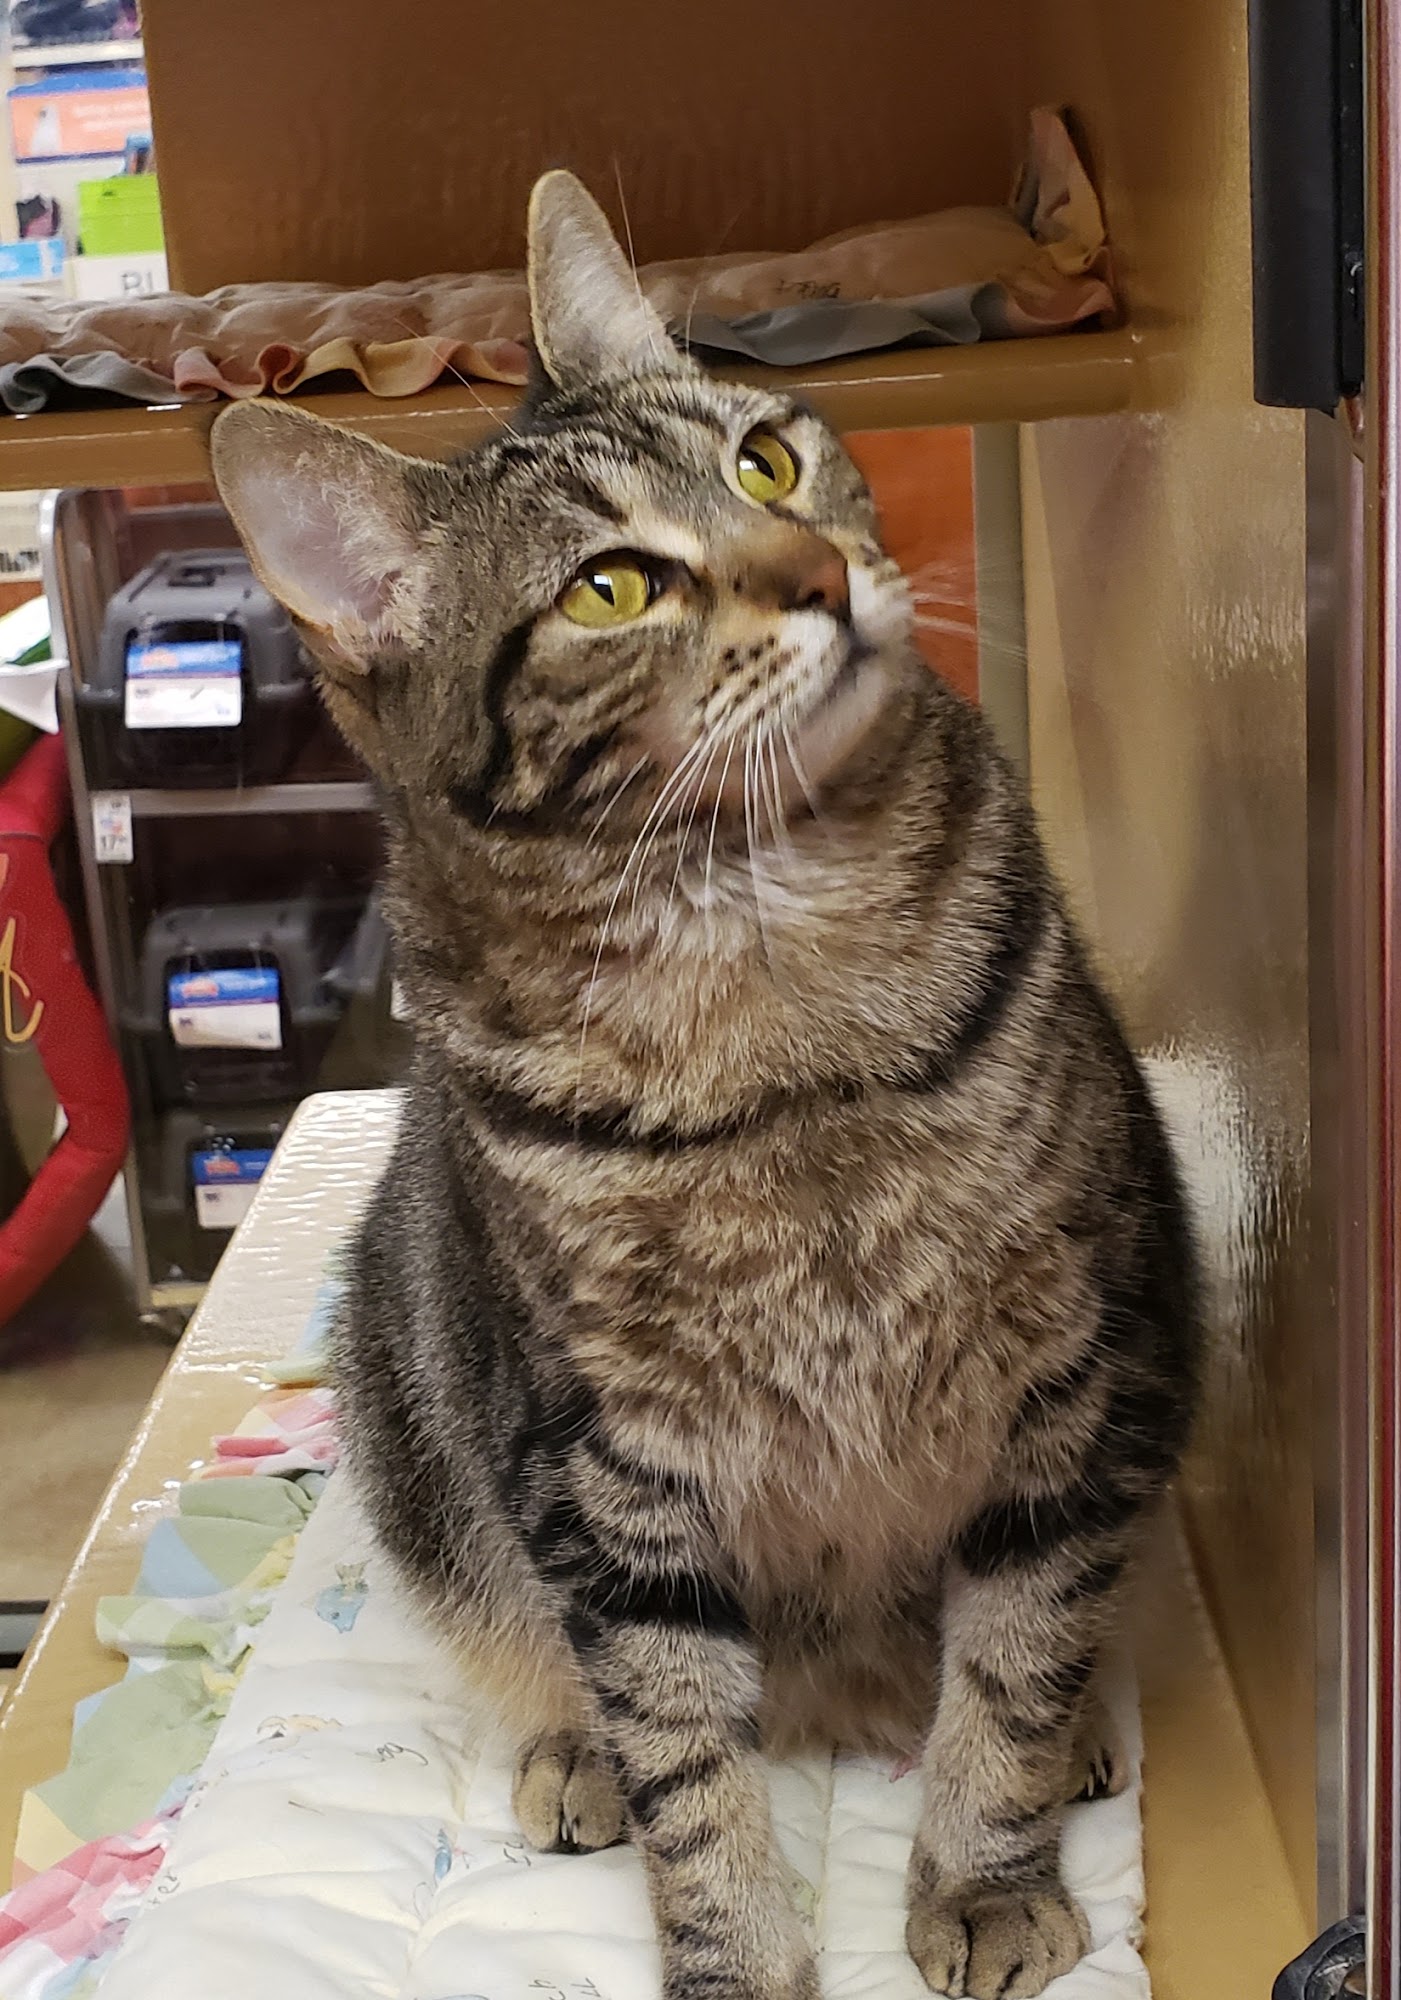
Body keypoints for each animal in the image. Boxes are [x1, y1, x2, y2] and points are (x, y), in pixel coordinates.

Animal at [211, 169, 1200, 2000]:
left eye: (764, 462)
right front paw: (732, 1949)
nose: (816, 573)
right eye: (612, 591)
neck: (762, 966)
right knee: (559, 1662)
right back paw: (573, 1753)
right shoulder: (610, 1475)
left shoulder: (1069, 1375)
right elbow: (686, 1756)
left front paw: (984, 1868)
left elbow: (1015, 1654)